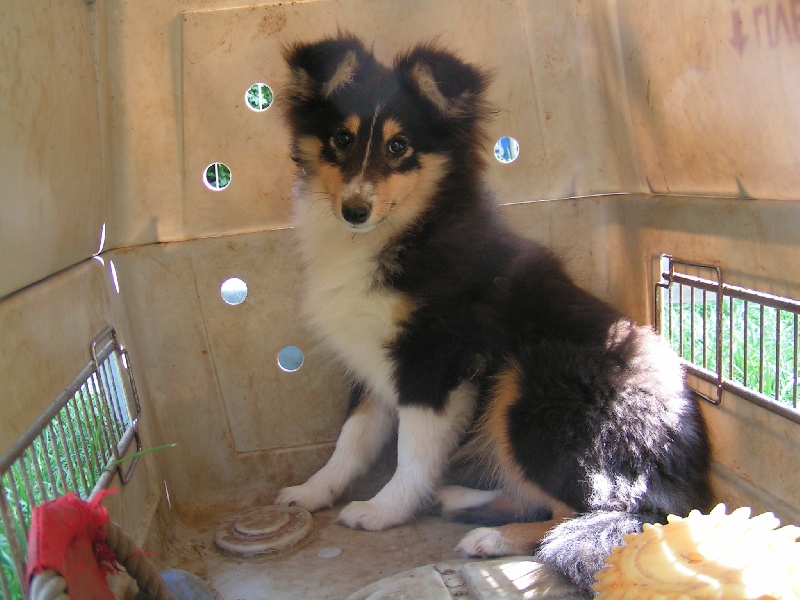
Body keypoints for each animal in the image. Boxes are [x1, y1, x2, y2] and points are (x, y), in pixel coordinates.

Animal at [275, 34, 712, 595]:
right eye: (341, 138)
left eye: (399, 146)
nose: (355, 210)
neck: (410, 229)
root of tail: (685, 493)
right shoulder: (370, 359)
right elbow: (352, 437)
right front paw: (311, 492)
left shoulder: (437, 360)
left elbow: (413, 449)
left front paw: (381, 510)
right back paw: (462, 500)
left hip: (531, 381)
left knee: (598, 514)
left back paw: (493, 539)